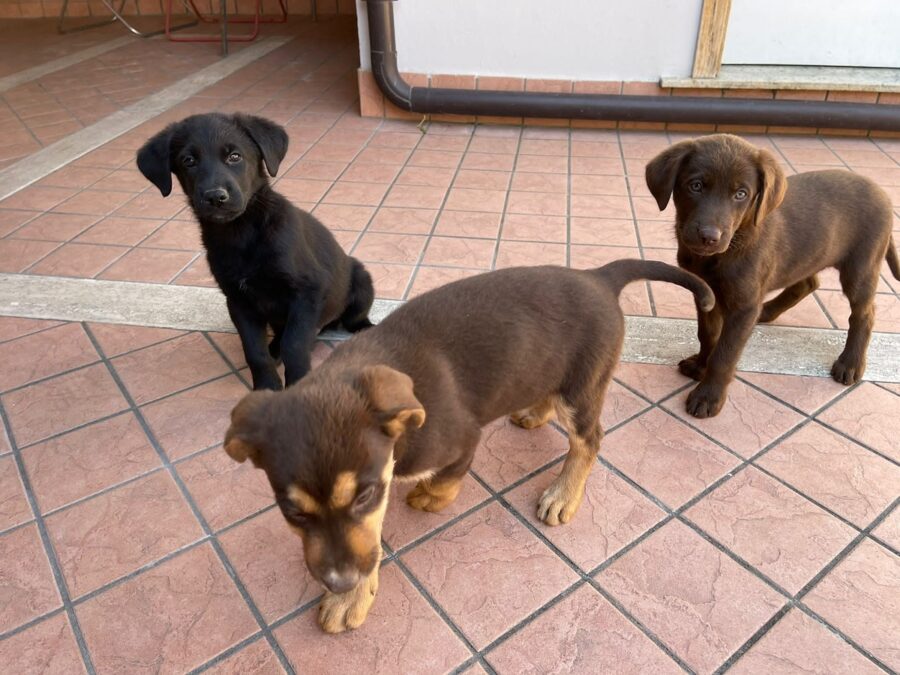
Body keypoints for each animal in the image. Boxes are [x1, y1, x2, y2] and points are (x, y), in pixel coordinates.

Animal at [136, 114, 372, 394]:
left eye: (235, 156)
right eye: (188, 161)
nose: (215, 197)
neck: (241, 233)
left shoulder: (308, 292)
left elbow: (295, 345)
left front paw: (297, 385)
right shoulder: (238, 301)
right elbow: (254, 350)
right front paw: (267, 386)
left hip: (361, 281)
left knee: (352, 319)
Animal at [221, 260, 712, 632]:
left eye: (363, 495)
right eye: (292, 511)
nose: (339, 583)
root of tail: (599, 276)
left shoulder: (457, 442)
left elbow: (435, 488)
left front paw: (427, 502)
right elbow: (367, 541)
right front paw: (352, 595)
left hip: (582, 386)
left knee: (589, 440)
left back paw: (563, 495)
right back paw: (534, 413)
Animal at [644, 132, 896, 418]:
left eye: (741, 194)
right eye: (695, 186)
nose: (709, 237)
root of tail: (882, 192)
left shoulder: (743, 306)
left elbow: (725, 354)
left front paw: (709, 396)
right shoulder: (706, 293)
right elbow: (708, 334)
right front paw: (700, 365)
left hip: (861, 266)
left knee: (864, 313)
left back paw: (850, 363)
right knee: (808, 282)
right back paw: (767, 310)